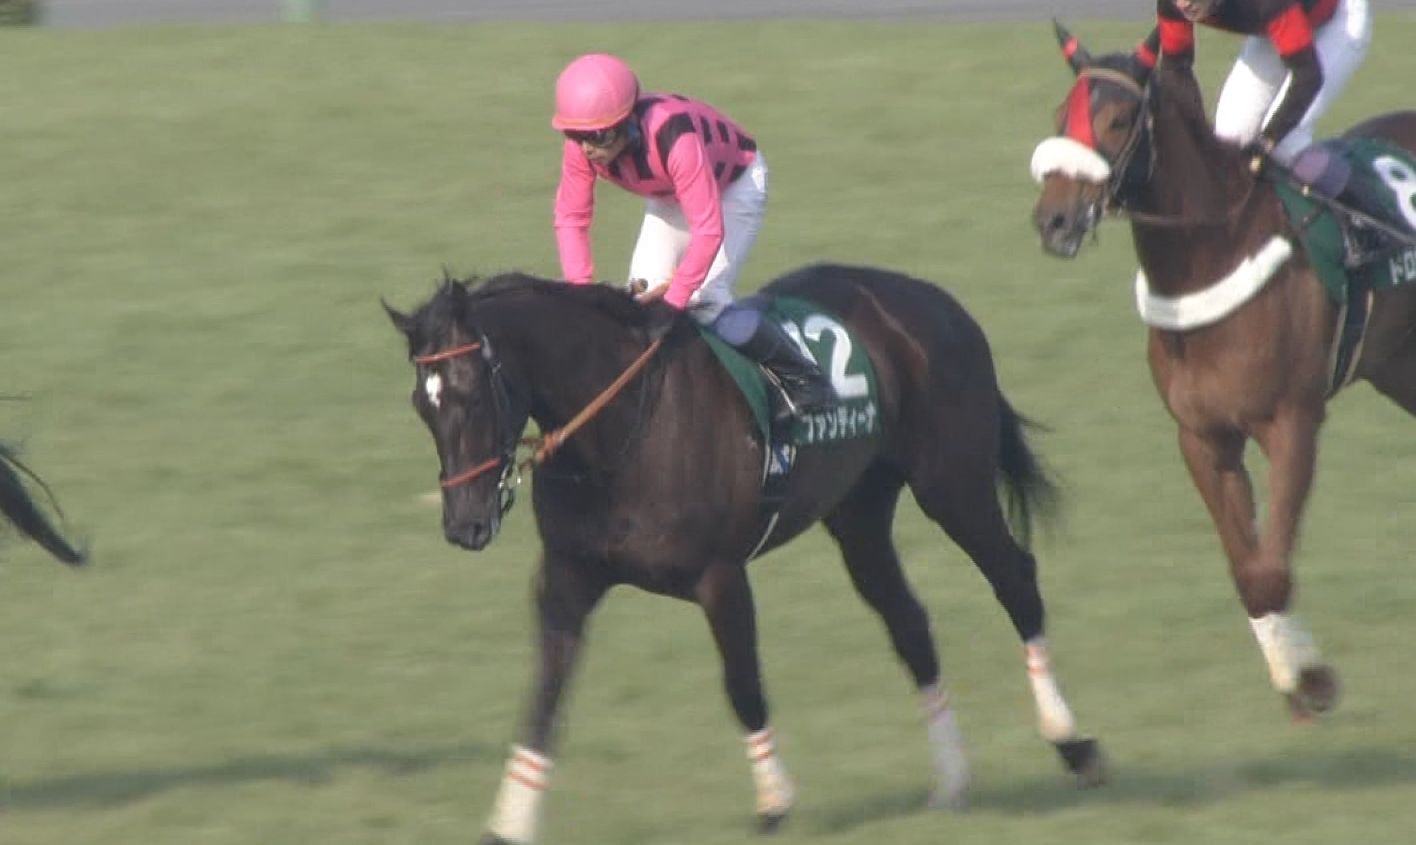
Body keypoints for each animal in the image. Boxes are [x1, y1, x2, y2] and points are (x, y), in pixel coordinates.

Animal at [385, 263, 1106, 843]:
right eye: (422, 405)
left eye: (471, 391)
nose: (466, 523)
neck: (618, 430)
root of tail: (935, 299)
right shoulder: (567, 576)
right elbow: (544, 696)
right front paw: (509, 820)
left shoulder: (720, 576)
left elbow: (743, 684)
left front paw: (774, 799)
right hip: (860, 515)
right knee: (909, 622)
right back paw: (953, 778)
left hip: (953, 484)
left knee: (1016, 579)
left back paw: (1072, 742)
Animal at [1030, 23, 1416, 721]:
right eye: (1058, 117)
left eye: (1118, 119)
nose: (1054, 220)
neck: (1212, 251)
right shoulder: (1202, 436)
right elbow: (1247, 572)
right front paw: (1295, 673)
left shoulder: (1292, 423)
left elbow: (1269, 572)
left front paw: (1312, 679)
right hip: (1402, 362)